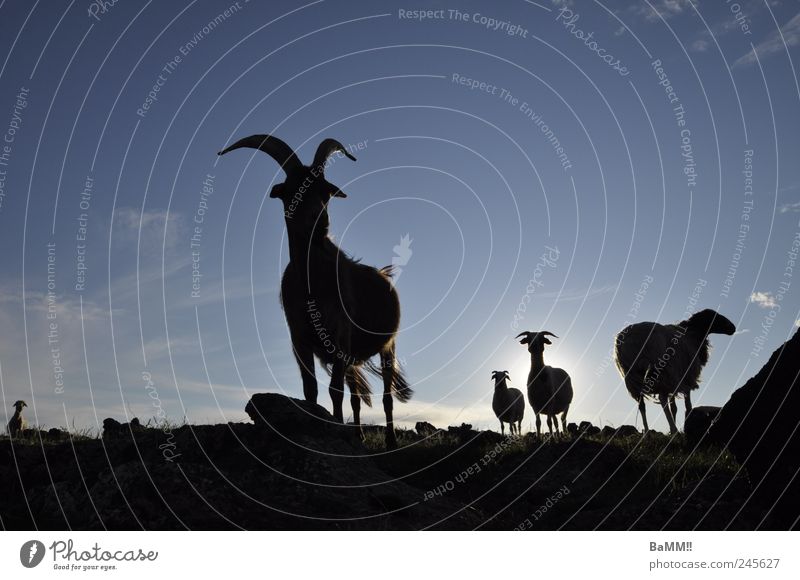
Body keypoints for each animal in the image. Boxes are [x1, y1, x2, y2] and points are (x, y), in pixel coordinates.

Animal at [219, 135, 412, 448]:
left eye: (325, 191)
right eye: (292, 191)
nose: (320, 222)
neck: (312, 283)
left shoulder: (340, 337)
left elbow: (335, 391)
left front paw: (337, 430)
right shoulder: (299, 339)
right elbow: (311, 390)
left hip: (388, 346)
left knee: (385, 396)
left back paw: (391, 442)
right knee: (356, 396)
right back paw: (358, 435)